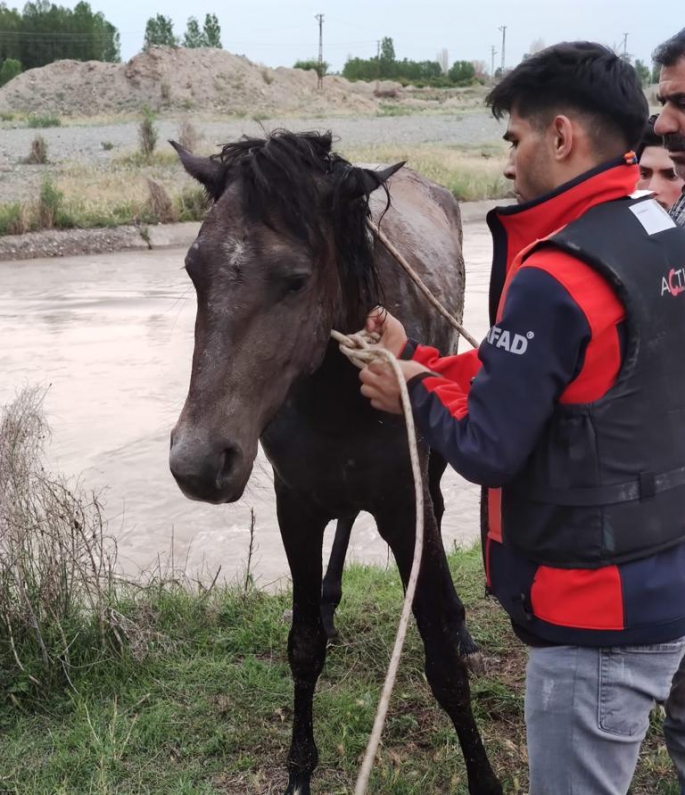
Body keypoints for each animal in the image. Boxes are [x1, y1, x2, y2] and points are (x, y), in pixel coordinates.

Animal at [166, 131, 496, 795]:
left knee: (439, 513)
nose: (197, 463)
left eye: (296, 279)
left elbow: (444, 667)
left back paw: (461, 625)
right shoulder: (296, 504)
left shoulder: (404, 505)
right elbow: (303, 647)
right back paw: (330, 598)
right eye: (192, 269)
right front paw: (299, 770)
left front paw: (484, 776)